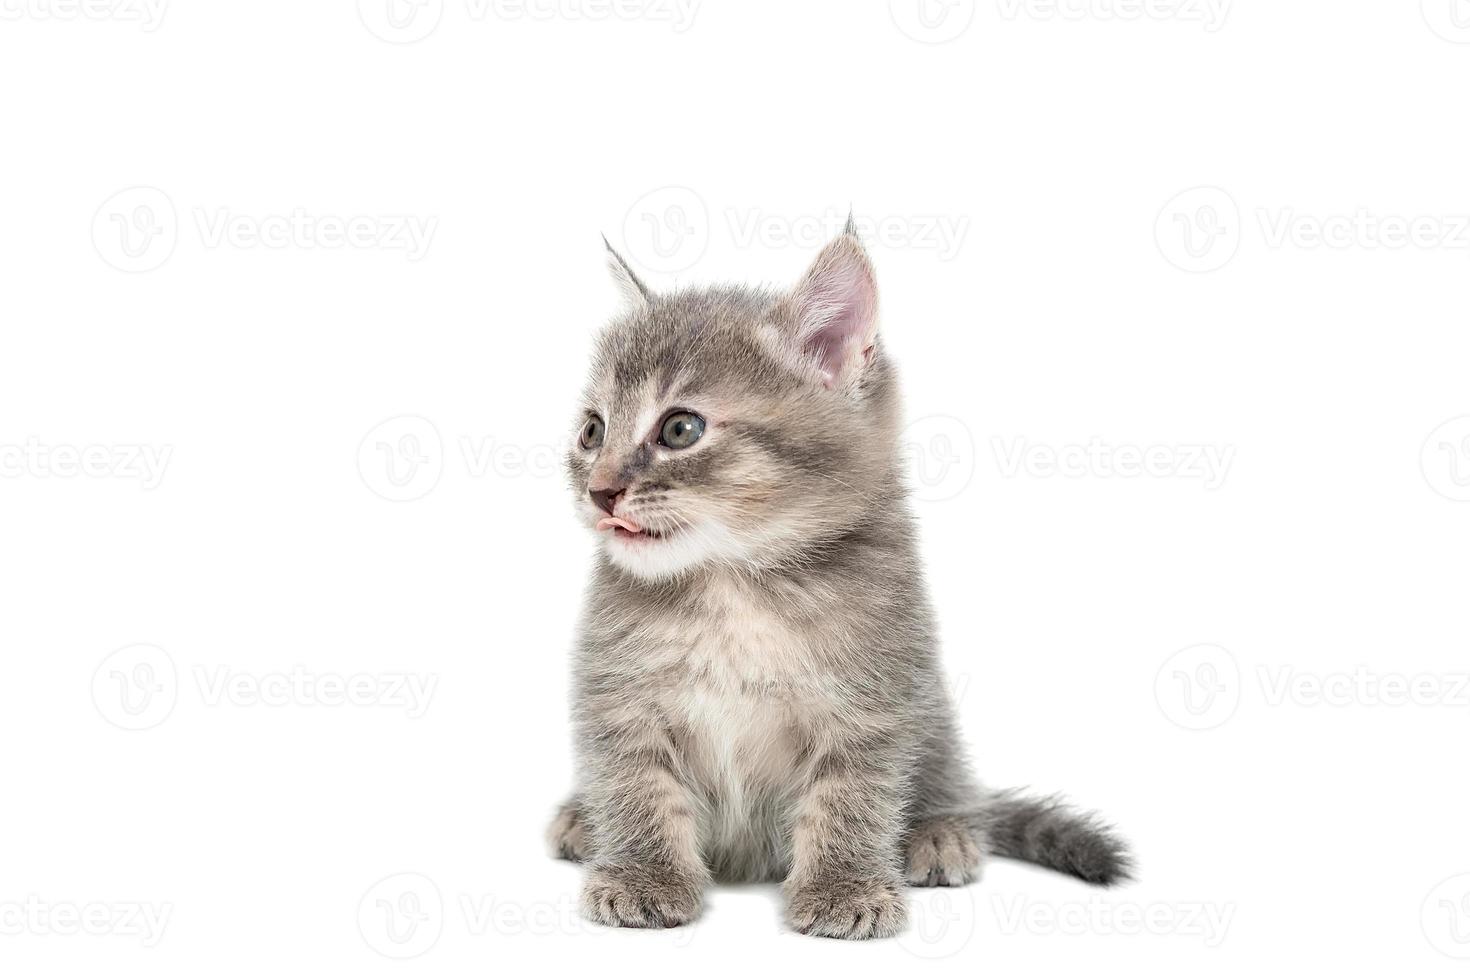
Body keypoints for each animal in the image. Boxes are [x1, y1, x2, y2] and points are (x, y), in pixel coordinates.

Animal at [546, 224, 1128, 940]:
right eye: (591, 430)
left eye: (681, 428)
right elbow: (636, 785)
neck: (734, 586)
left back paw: (940, 831)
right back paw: (582, 819)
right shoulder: (618, 695)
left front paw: (844, 888)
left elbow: (849, 795)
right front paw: (642, 874)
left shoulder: (874, 695)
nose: (599, 492)